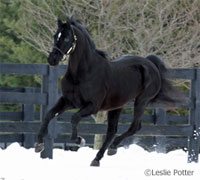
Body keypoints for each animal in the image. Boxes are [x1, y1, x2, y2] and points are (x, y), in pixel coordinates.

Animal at [35, 16, 185, 166]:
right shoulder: (68, 101)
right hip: (117, 106)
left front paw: (80, 140)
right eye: (55, 36)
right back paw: (98, 158)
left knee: (134, 127)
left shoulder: (92, 106)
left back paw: (112, 148)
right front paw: (39, 145)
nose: (52, 59)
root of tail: (151, 64)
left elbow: (74, 118)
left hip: (141, 102)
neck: (82, 74)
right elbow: (49, 114)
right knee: (112, 131)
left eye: (66, 38)